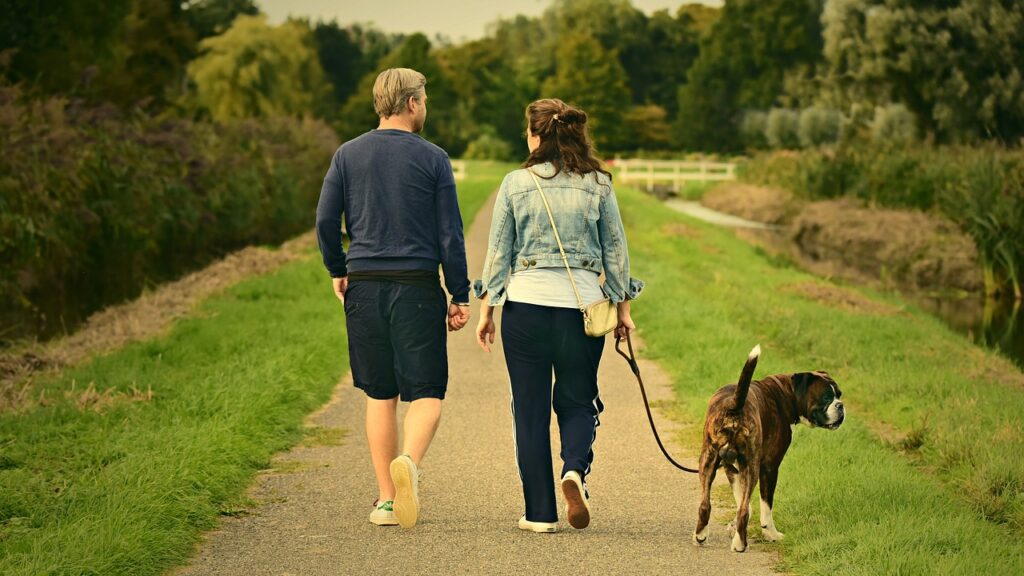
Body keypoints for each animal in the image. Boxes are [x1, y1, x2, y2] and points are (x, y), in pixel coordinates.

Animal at [692, 342, 843, 549]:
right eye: (827, 398)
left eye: (839, 395)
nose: (840, 405)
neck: (786, 393)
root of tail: (734, 405)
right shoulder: (769, 467)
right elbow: (764, 507)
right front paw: (771, 534)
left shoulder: (732, 469)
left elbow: (744, 503)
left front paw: (733, 527)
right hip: (752, 466)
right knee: (742, 510)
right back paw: (740, 545)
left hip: (708, 462)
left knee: (705, 505)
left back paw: (700, 536)